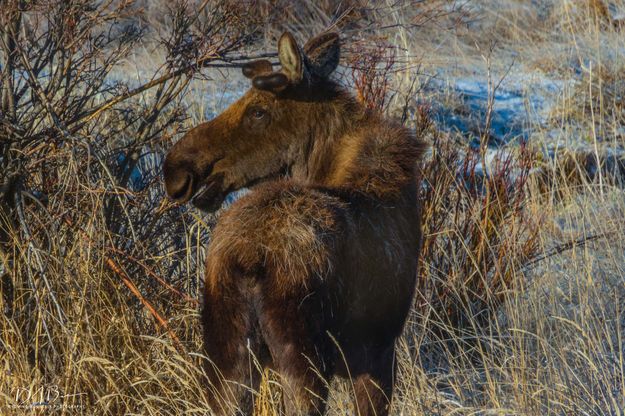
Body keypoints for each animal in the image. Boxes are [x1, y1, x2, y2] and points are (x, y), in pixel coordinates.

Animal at [162, 32, 424, 416]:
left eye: (258, 111)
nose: (176, 167)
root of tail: (248, 258)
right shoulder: (380, 351)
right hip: (303, 358)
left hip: (227, 353)